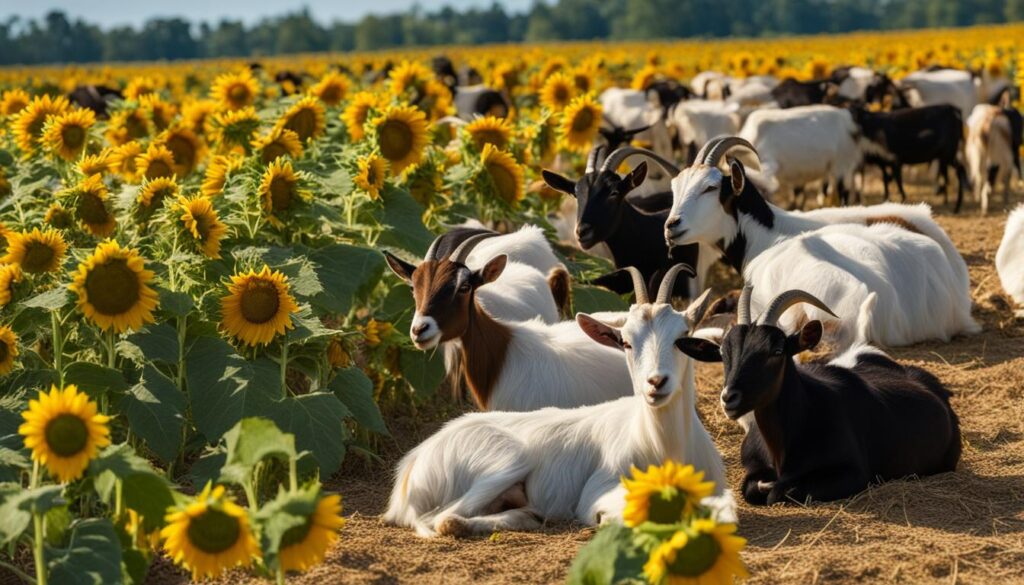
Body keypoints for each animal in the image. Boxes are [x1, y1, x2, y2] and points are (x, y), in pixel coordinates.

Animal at [383, 266, 732, 536]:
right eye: (625, 342)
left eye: (682, 336)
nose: (656, 383)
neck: (663, 446)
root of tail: (410, 469)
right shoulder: (597, 493)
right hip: (509, 460)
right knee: (443, 519)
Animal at [680, 287, 961, 505]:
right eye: (722, 353)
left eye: (777, 350)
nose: (730, 398)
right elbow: (752, 489)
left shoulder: (852, 473)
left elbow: (781, 491)